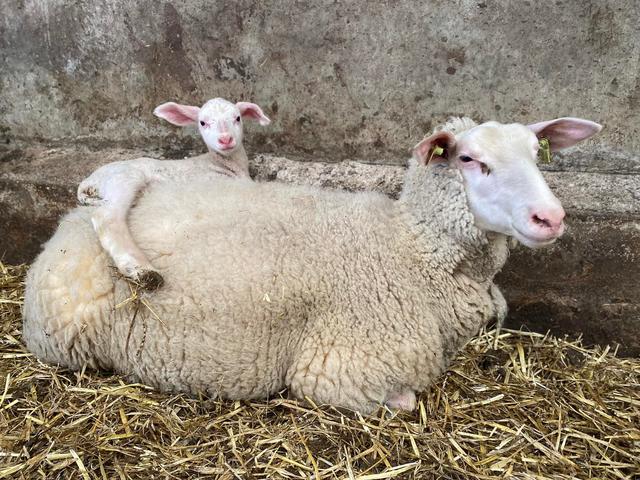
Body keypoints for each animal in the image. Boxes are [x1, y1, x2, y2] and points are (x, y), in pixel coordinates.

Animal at [77, 98, 271, 290]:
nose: (225, 139)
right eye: (202, 122)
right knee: (107, 217)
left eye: (238, 118)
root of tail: (89, 181)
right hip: (125, 179)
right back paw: (143, 270)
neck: (222, 164)